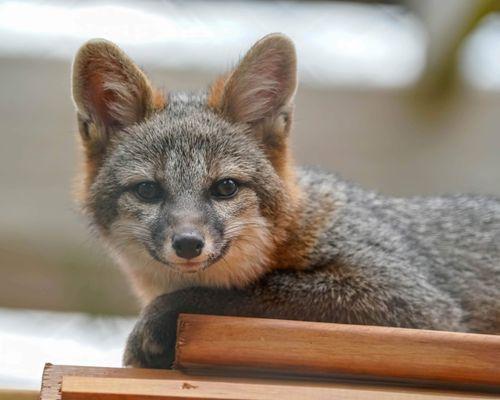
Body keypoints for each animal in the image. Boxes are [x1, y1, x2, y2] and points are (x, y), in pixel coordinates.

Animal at [71, 32, 500, 368]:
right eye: (148, 190)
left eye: (225, 187)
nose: (189, 243)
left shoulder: (412, 300)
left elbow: (252, 289)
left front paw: (158, 319)